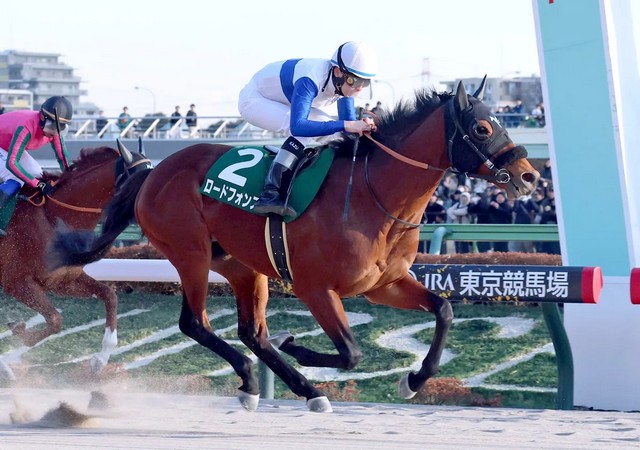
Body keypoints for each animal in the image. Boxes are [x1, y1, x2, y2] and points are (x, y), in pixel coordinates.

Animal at [0, 143, 150, 378]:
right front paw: (17, 332)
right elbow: (55, 320)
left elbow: (109, 296)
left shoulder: (63, 280)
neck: (55, 217)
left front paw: (99, 361)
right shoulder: (16, 282)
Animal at [47, 81, 540, 412]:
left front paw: (414, 380)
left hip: (241, 265)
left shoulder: (385, 284)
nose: (530, 176)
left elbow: (445, 310)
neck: (372, 194)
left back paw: (291, 388)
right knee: (195, 323)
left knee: (251, 332)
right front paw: (299, 346)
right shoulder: (315, 288)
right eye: (482, 127)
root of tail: (154, 171)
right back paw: (263, 379)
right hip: (190, 254)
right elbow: (351, 351)